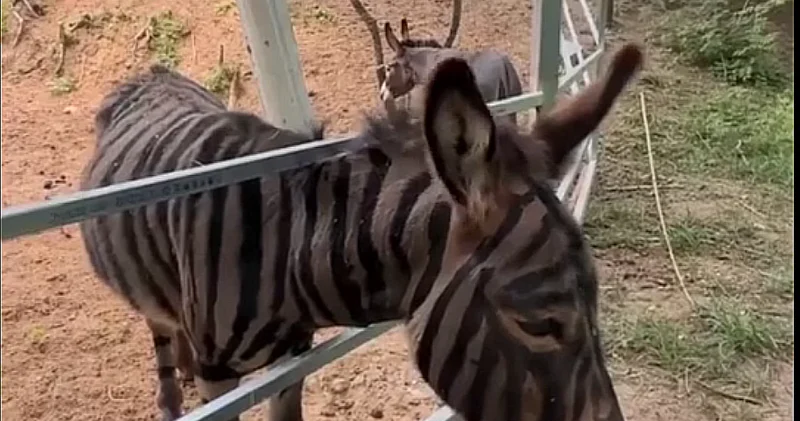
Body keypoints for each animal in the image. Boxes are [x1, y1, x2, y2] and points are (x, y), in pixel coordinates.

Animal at [79, 43, 644, 421]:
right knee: (160, 328)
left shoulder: (292, 363)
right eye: (539, 325)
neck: (286, 254)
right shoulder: (222, 382)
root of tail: (150, 73)